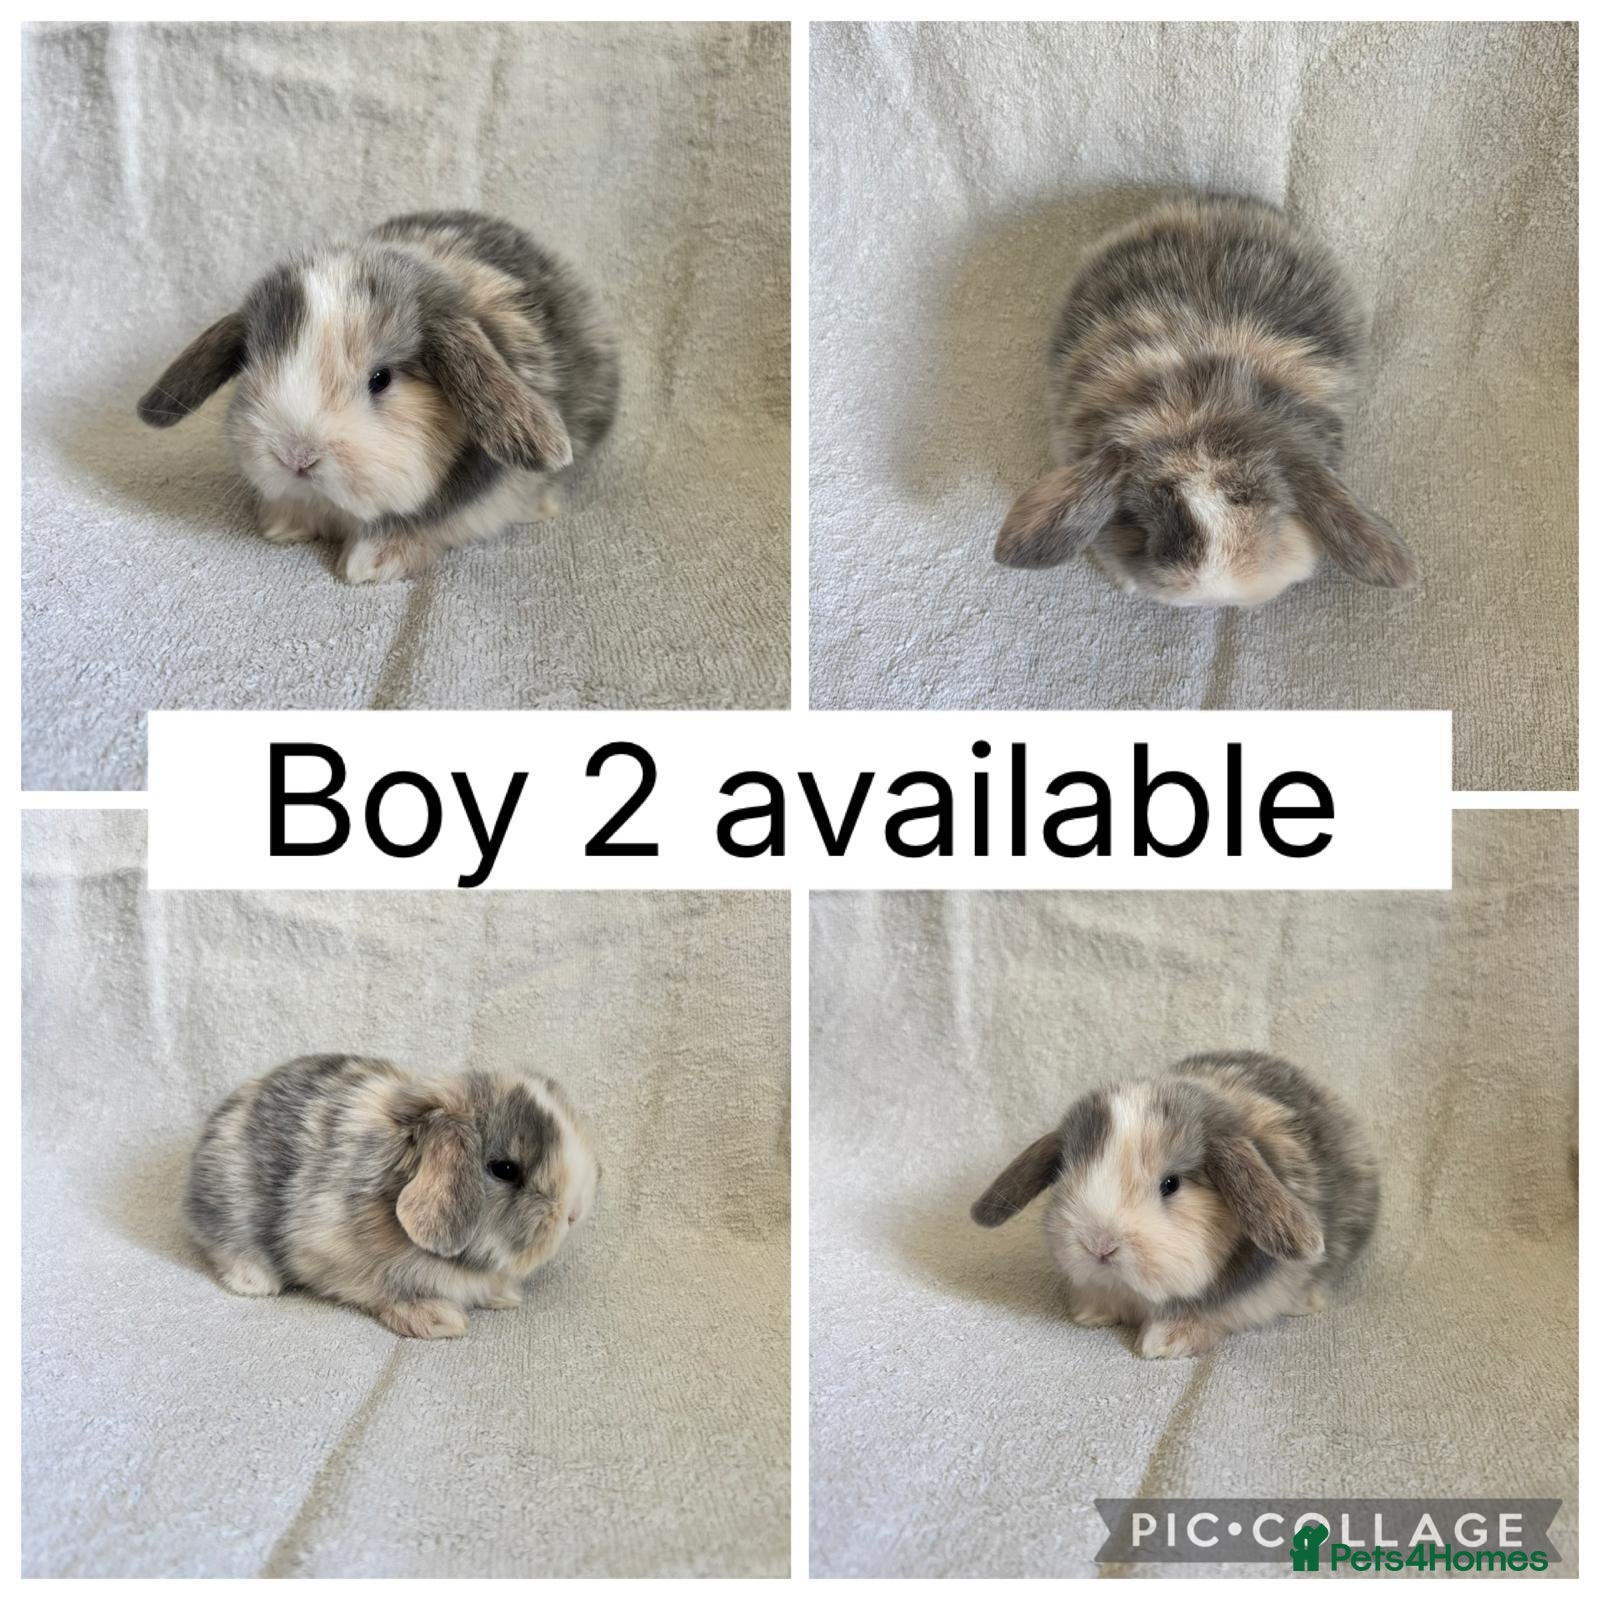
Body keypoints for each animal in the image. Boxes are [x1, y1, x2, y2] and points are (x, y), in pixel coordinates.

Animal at [184, 1054, 601, 1339]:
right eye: (505, 1169)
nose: (575, 1212)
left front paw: (505, 1297)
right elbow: (390, 1294)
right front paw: (440, 1320)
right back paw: (256, 1282)